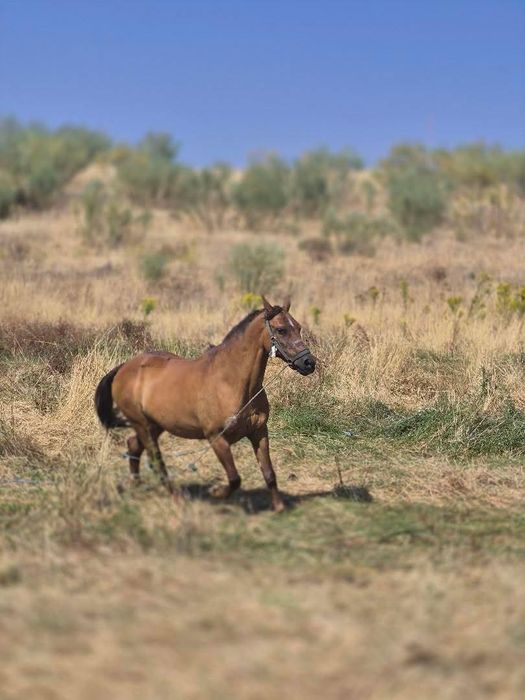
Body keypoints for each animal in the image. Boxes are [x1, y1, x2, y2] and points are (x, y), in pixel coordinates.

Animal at [94, 296, 316, 511]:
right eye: (281, 330)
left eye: (298, 327)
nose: (309, 363)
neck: (231, 382)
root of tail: (124, 368)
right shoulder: (216, 438)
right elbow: (234, 479)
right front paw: (216, 493)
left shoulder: (259, 432)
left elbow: (269, 473)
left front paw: (278, 508)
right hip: (143, 425)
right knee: (156, 461)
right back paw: (176, 498)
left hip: (155, 425)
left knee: (133, 446)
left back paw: (137, 485)